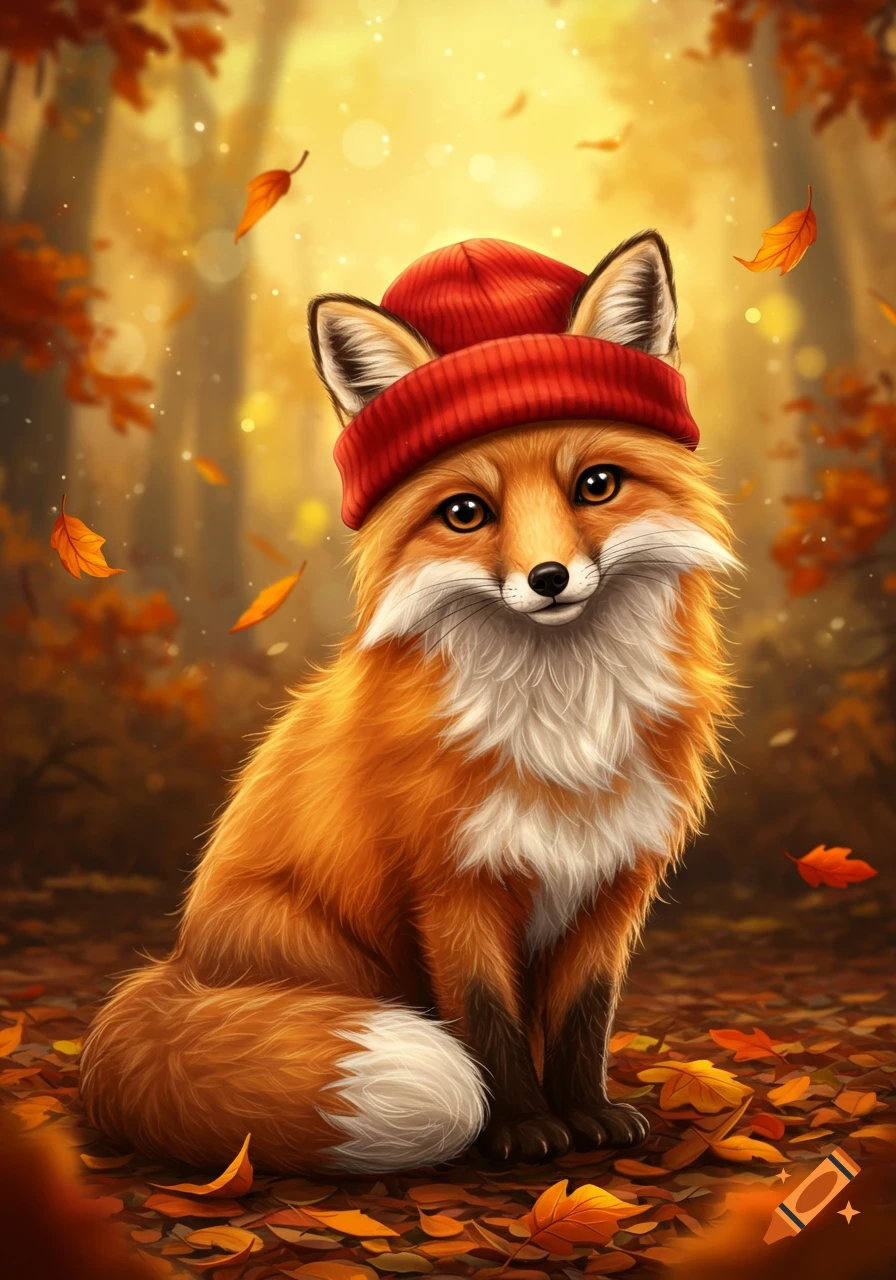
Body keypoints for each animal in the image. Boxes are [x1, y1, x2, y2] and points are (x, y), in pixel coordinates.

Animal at [80, 232, 736, 1173]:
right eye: (465, 512)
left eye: (597, 485)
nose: (548, 579)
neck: (564, 722)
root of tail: (177, 964)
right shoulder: (453, 883)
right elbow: (488, 1020)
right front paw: (522, 1129)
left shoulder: (612, 880)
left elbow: (583, 1018)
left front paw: (588, 1114)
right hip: (329, 955)